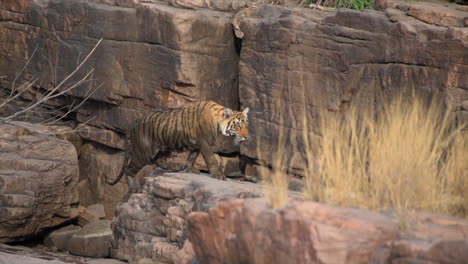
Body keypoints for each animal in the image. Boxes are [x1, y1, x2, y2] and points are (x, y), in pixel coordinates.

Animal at [102, 100, 249, 193]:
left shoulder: (197, 145)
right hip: (143, 152)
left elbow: (192, 157)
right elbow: (211, 159)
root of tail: (134, 123)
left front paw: (190, 169)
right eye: (238, 125)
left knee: (158, 161)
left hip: (160, 148)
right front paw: (218, 175)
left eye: (246, 124)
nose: (247, 137)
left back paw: (175, 167)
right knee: (129, 169)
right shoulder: (204, 143)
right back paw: (134, 188)